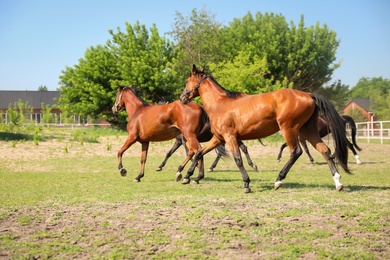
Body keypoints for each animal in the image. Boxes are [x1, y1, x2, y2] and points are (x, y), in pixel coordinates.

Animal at [181, 65, 352, 193]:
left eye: (187, 80)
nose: (182, 98)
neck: (221, 104)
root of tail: (309, 95)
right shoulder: (218, 138)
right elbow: (199, 153)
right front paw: (189, 177)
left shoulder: (230, 137)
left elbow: (238, 159)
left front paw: (246, 184)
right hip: (308, 130)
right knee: (325, 151)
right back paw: (338, 182)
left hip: (289, 129)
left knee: (296, 152)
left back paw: (278, 180)